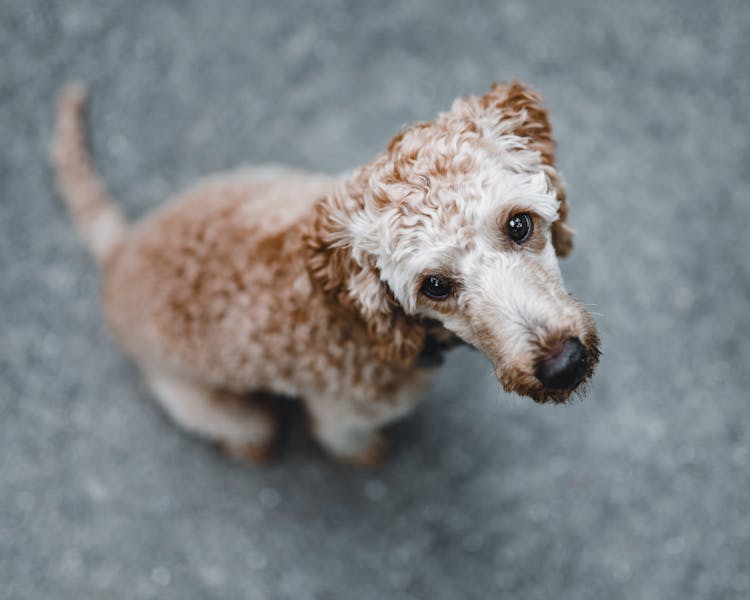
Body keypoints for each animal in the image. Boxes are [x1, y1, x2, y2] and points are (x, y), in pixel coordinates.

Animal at [53, 79, 604, 466]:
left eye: (519, 224)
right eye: (435, 286)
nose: (563, 365)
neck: (361, 319)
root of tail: (120, 250)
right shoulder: (342, 414)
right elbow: (344, 440)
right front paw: (367, 456)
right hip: (206, 401)